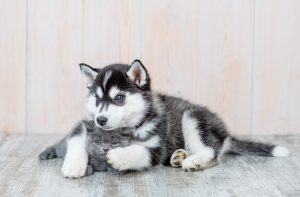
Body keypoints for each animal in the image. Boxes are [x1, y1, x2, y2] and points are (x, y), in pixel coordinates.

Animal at [48, 59, 290, 178]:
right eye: (97, 99)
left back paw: (192, 161)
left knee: (212, 153)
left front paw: (119, 156)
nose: (101, 120)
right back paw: (180, 156)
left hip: (192, 117)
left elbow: (139, 151)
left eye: (119, 98)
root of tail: (226, 134)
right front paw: (73, 166)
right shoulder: (85, 125)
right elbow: (77, 139)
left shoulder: (157, 148)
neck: (129, 129)